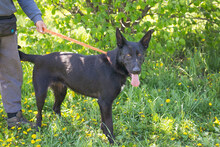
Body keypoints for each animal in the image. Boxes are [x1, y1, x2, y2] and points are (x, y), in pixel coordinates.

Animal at [18, 28, 153, 143]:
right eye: (128, 55)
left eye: (140, 55)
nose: (136, 71)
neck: (113, 65)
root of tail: (39, 58)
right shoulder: (105, 102)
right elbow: (109, 124)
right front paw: (112, 141)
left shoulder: (103, 103)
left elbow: (104, 123)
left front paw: (105, 135)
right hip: (41, 93)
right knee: (39, 114)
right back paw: (38, 130)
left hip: (61, 91)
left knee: (55, 108)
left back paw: (65, 124)